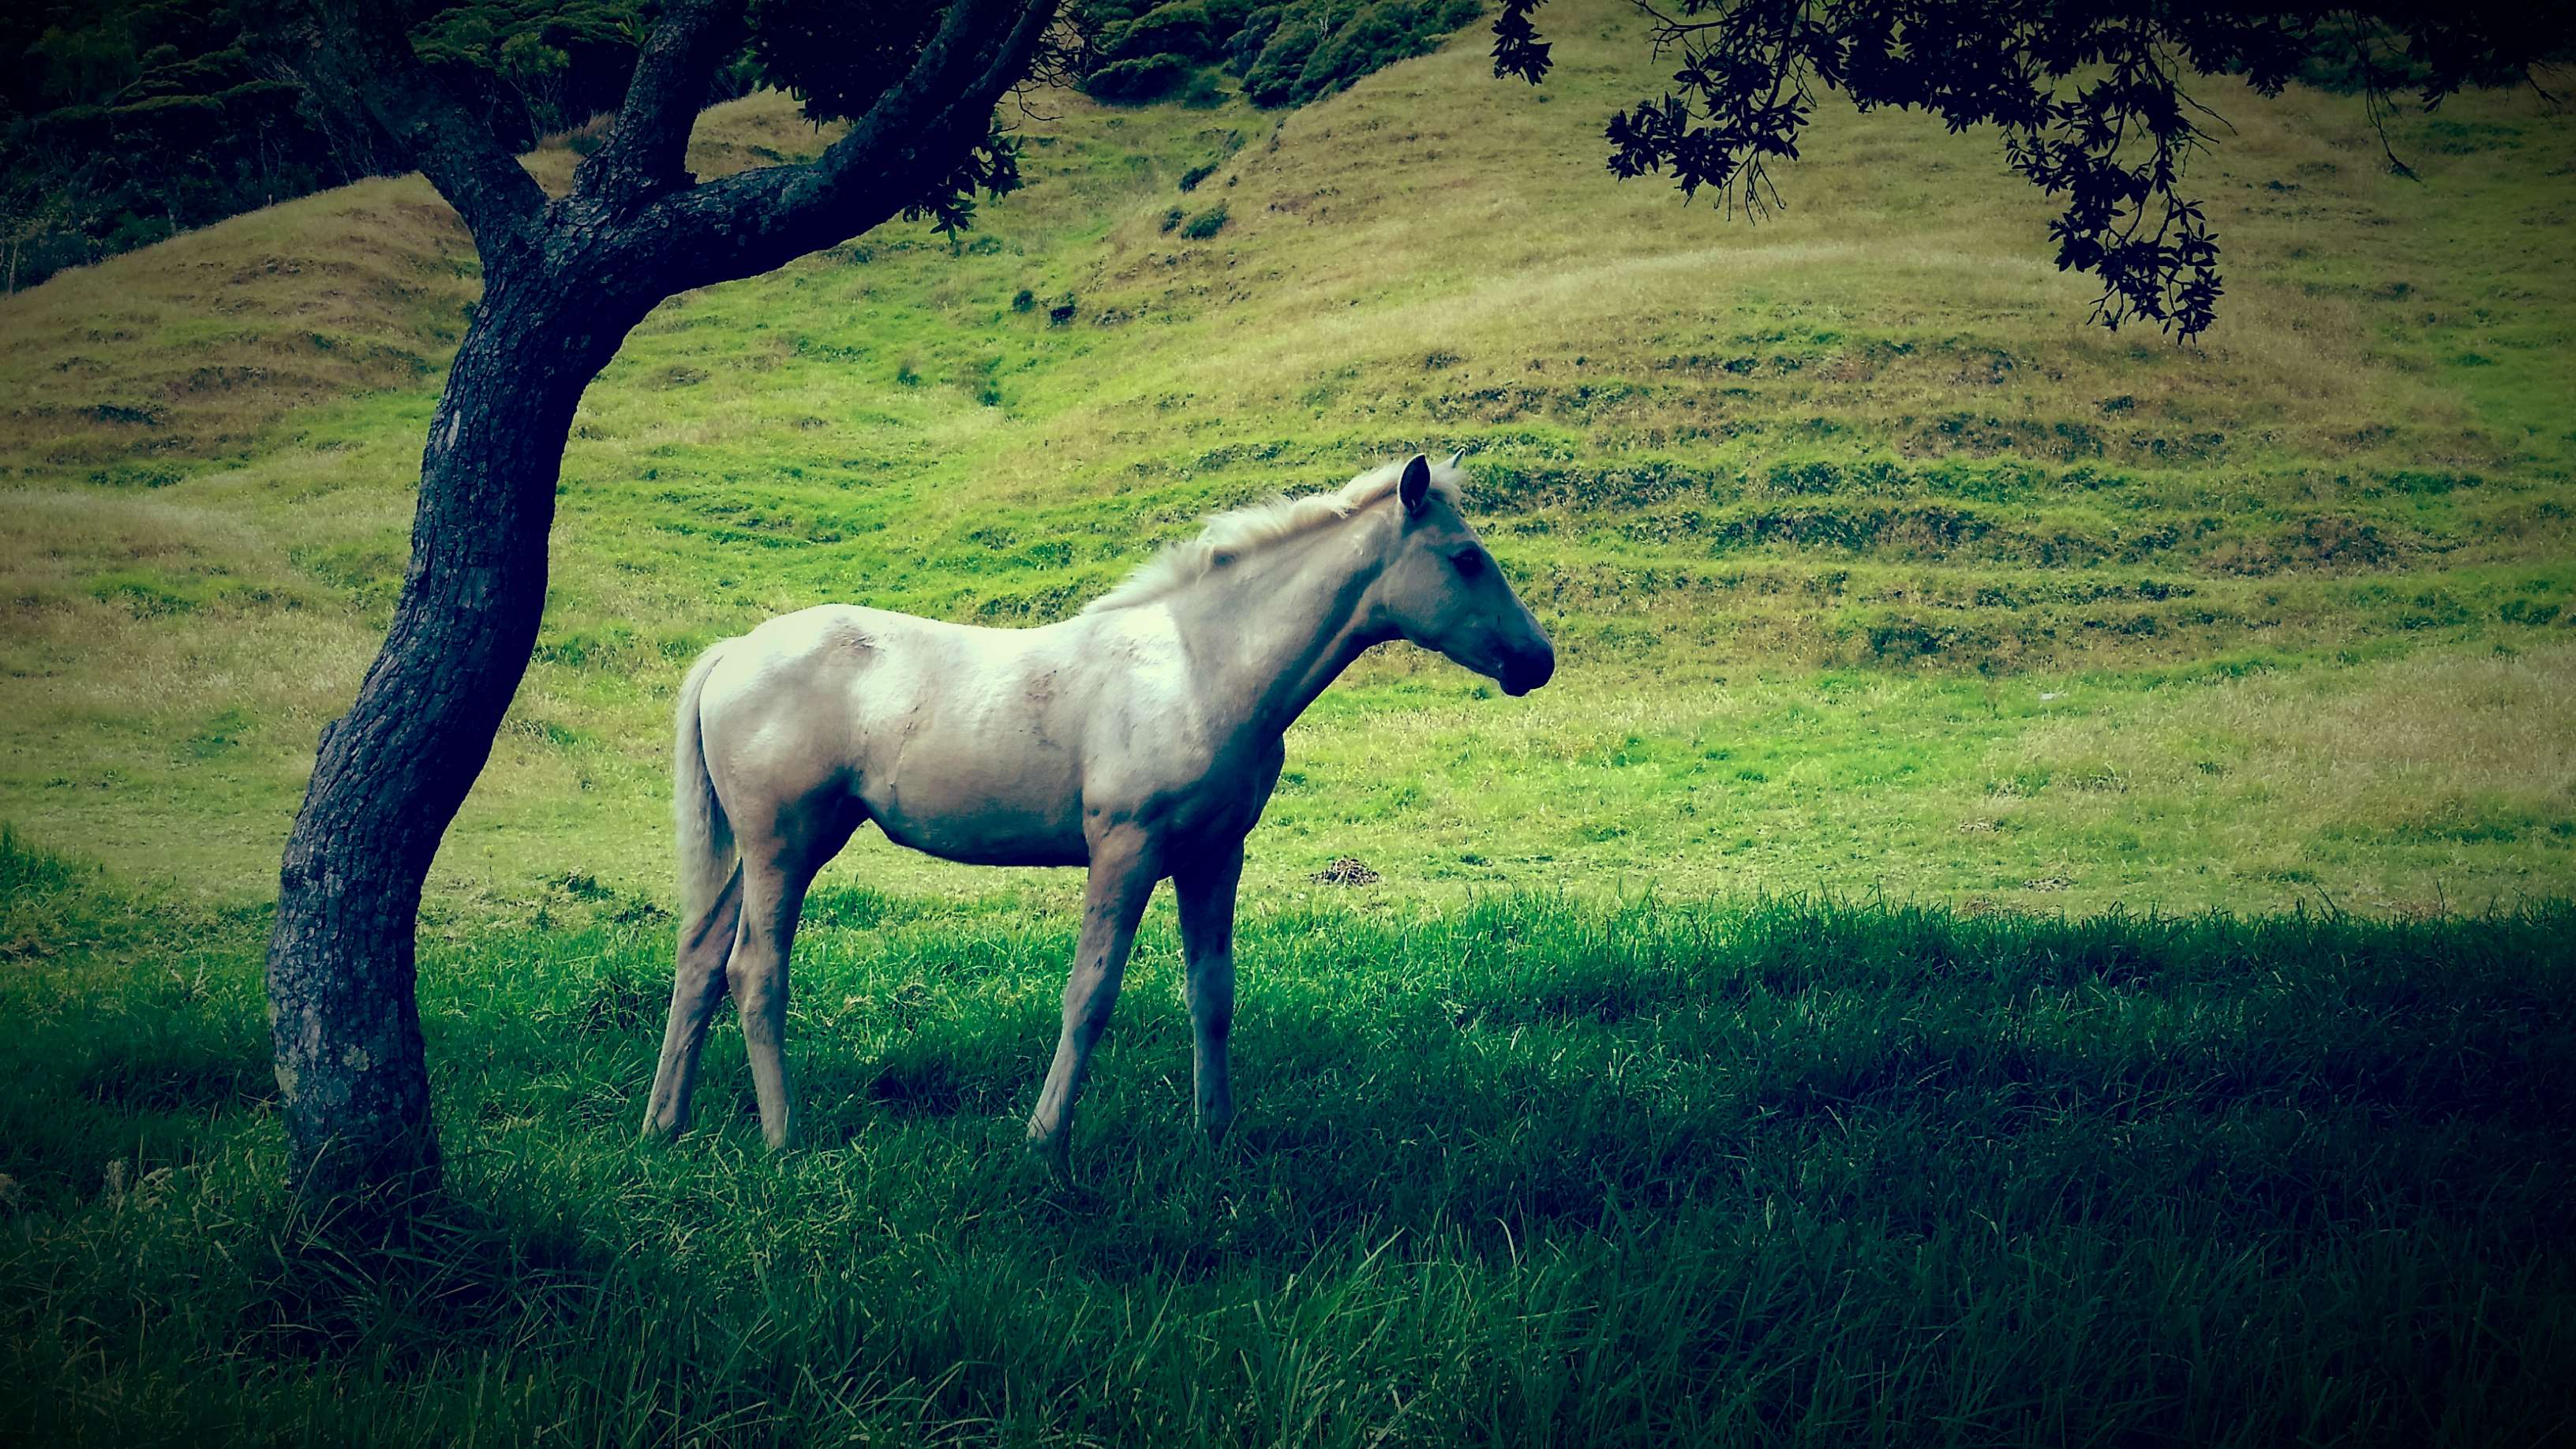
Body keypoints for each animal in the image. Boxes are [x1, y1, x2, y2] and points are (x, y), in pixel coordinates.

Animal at [641, 452, 1556, 1169]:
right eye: (1466, 559)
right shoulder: (1126, 849)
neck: (1201, 669)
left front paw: (1215, 1136)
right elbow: (1090, 994)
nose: (1537, 661)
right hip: (783, 846)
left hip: (777, 847)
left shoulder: (1215, 855)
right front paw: (1045, 1140)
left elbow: (1212, 993)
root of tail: (734, 652)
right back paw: (784, 1139)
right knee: (754, 971)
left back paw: (664, 1127)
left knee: (700, 959)